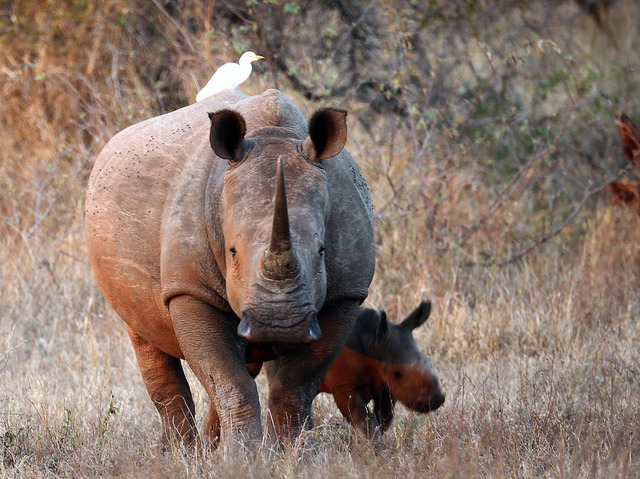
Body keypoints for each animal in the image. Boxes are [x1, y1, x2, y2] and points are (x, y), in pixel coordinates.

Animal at [85, 89, 375, 450]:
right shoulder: (191, 290)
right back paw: (180, 454)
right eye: (232, 251)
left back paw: (208, 449)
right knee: (146, 339)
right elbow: (230, 381)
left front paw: (296, 454)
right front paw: (243, 456)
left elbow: (294, 387)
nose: (279, 323)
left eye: (322, 251)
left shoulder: (345, 295)